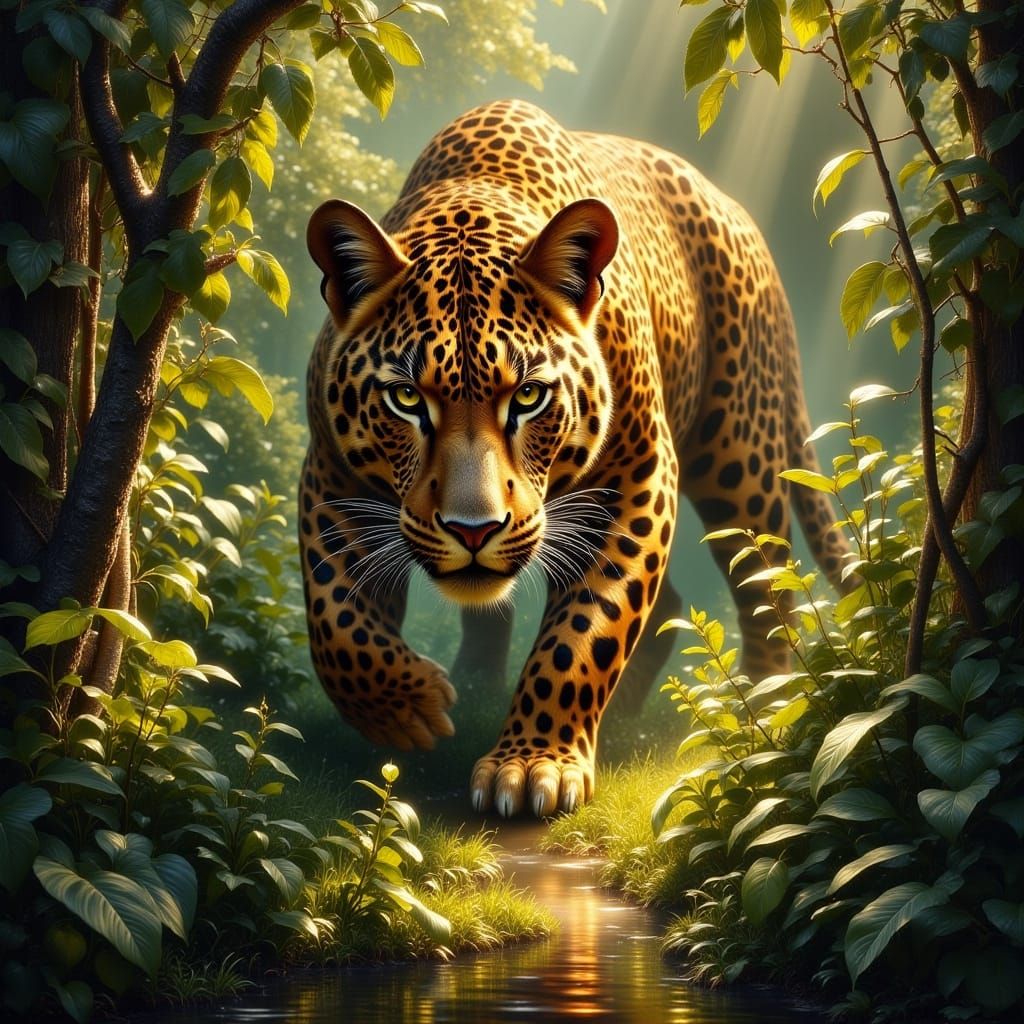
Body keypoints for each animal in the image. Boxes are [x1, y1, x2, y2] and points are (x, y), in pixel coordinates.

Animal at [299, 99, 848, 818]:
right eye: (406, 398)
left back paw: (763, 713)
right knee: (673, 604)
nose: (473, 531)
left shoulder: (638, 477)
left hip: (740, 460)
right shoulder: (332, 478)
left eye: (529, 397)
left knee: (766, 583)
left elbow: (586, 632)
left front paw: (533, 764)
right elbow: (335, 619)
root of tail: (738, 212)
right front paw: (409, 709)